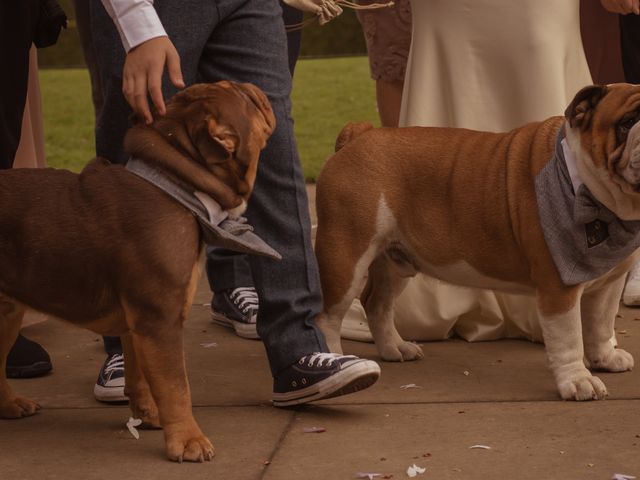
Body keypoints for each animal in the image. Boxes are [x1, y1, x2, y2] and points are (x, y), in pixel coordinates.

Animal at [0, 81, 276, 462]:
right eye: (242, 96)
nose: (252, 86)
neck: (178, 183)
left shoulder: (139, 322)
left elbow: (141, 374)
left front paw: (148, 414)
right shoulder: (160, 321)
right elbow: (176, 386)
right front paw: (188, 440)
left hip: (7, 314)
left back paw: (10, 405)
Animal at [316, 85, 640, 402]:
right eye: (626, 124)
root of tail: (359, 134)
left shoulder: (610, 282)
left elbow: (600, 323)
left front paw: (604, 358)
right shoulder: (558, 287)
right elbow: (569, 336)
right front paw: (577, 381)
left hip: (393, 261)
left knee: (377, 303)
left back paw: (396, 348)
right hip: (345, 256)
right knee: (328, 316)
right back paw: (335, 360)